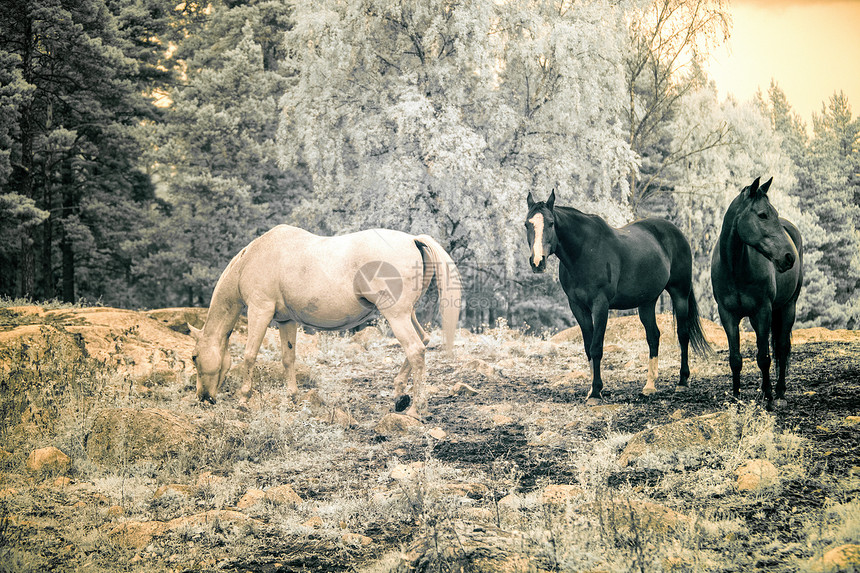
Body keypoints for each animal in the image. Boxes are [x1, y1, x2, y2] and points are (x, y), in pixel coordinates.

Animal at [186, 223, 460, 416]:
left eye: (194, 357)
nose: (203, 397)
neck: (254, 258)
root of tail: (413, 239)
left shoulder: (259, 311)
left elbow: (249, 355)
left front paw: (244, 399)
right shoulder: (286, 321)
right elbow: (288, 358)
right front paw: (293, 397)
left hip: (396, 316)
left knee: (415, 350)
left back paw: (415, 409)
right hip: (406, 314)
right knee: (423, 341)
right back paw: (400, 395)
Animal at [528, 190, 708, 404]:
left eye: (551, 223)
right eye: (527, 224)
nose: (537, 262)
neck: (584, 252)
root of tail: (676, 232)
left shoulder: (600, 305)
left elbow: (596, 348)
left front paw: (596, 393)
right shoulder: (578, 307)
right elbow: (588, 348)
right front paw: (592, 390)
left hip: (679, 294)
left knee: (683, 334)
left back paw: (682, 381)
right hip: (647, 302)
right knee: (653, 336)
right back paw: (649, 386)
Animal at [708, 177, 804, 408]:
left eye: (774, 213)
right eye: (762, 215)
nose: (789, 257)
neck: (735, 268)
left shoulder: (762, 312)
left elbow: (764, 358)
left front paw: (768, 397)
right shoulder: (728, 315)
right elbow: (735, 358)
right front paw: (736, 397)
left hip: (788, 307)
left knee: (782, 348)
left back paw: (779, 392)